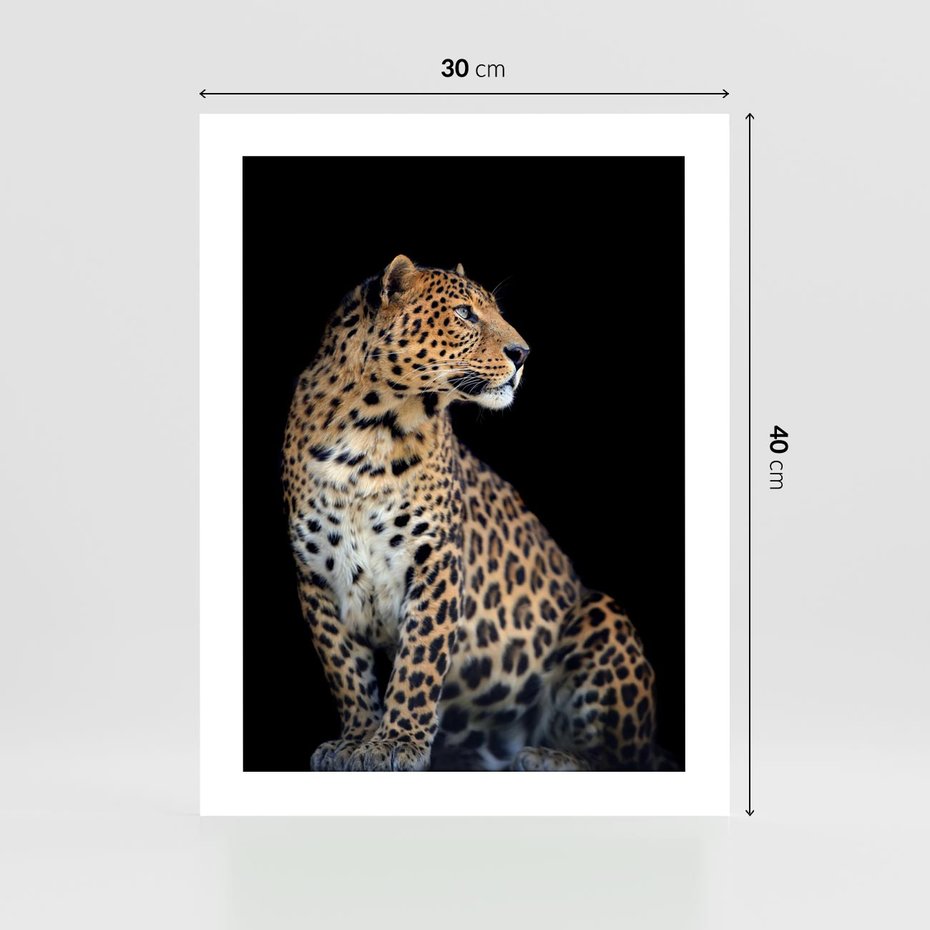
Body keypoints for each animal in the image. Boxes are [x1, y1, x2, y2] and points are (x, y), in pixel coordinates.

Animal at [283, 255, 665, 771]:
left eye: (495, 311)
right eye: (465, 313)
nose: (523, 353)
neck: (368, 432)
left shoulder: (435, 559)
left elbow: (419, 661)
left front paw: (395, 744)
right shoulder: (316, 575)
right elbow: (344, 667)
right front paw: (356, 739)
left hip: (601, 614)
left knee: (627, 757)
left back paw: (549, 757)